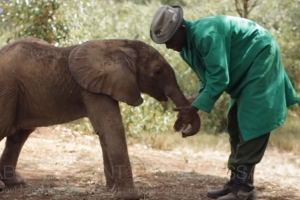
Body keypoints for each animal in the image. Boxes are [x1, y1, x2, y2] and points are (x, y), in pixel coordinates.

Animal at [0, 38, 200, 200]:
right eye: (157, 71)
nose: (180, 127)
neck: (118, 45)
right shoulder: (94, 89)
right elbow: (113, 128)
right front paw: (133, 195)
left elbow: (103, 131)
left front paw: (113, 191)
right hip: (8, 89)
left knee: (18, 136)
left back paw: (17, 183)